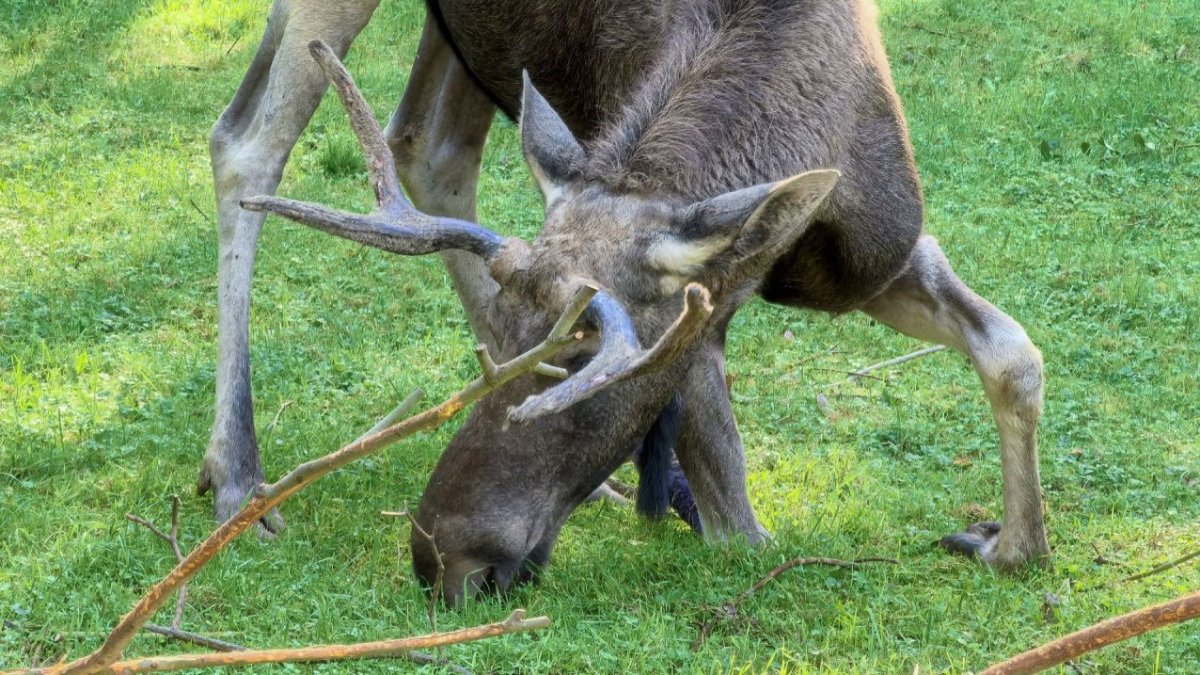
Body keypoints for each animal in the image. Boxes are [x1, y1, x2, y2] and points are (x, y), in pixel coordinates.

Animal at [205, 0, 1051, 603]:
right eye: (498, 345)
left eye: (584, 357)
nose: (441, 557)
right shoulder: (705, 314)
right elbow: (742, 533)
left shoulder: (873, 254)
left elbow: (1014, 355)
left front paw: (1008, 542)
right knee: (247, 141)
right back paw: (238, 474)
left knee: (425, 142)